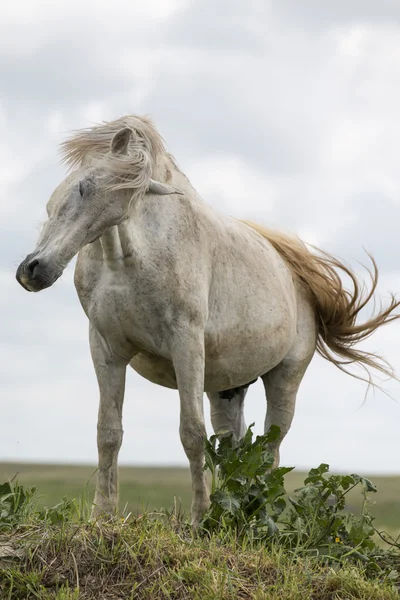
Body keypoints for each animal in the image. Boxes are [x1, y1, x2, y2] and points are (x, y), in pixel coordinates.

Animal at [15, 113, 400, 524]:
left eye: (94, 192)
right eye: (77, 188)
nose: (34, 271)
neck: (127, 264)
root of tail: (296, 275)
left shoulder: (185, 344)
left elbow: (191, 432)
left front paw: (199, 518)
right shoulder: (106, 348)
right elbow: (109, 432)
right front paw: (102, 515)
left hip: (284, 378)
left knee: (270, 449)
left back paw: (253, 517)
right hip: (227, 388)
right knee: (235, 448)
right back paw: (236, 512)